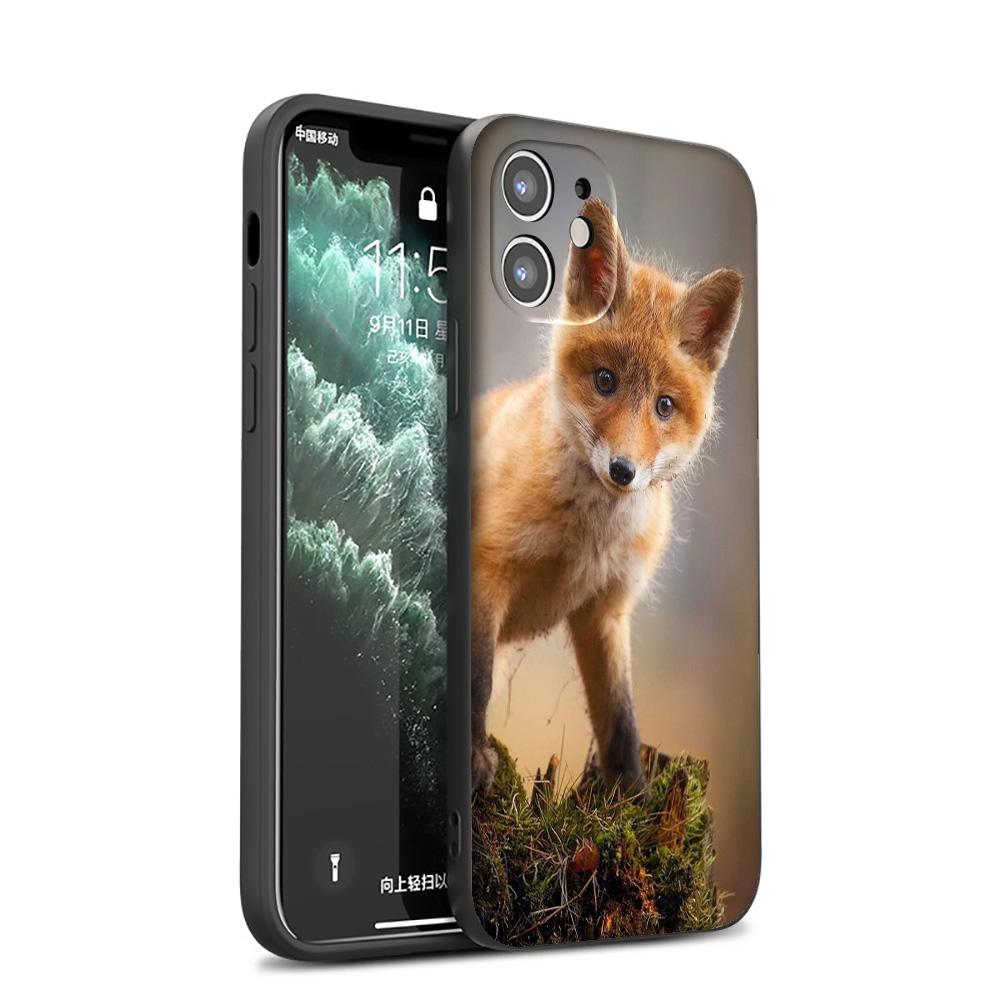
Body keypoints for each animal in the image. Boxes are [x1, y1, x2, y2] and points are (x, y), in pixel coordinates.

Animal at [470, 198, 743, 793]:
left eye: (664, 406)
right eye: (605, 380)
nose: (622, 470)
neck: (586, 541)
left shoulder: (606, 609)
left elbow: (620, 718)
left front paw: (632, 792)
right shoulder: (487, 571)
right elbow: (477, 681)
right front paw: (474, 754)